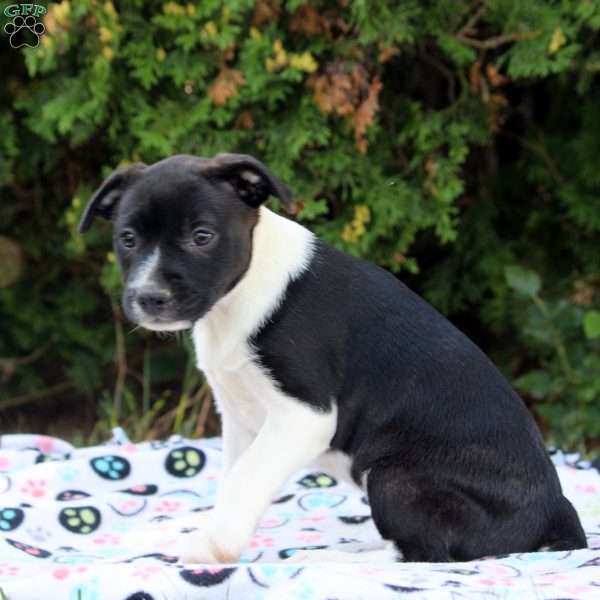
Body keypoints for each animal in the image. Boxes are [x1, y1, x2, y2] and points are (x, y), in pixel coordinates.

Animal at [79, 154, 584, 564]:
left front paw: (209, 546)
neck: (237, 296)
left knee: (430, 552)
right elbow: (234, 482)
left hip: (395, 476)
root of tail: (555, 512)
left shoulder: (303, 416)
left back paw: (342, 557)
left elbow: (245, 480)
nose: (149, 298)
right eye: (127, 239)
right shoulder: (242, 420)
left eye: (201, 237)